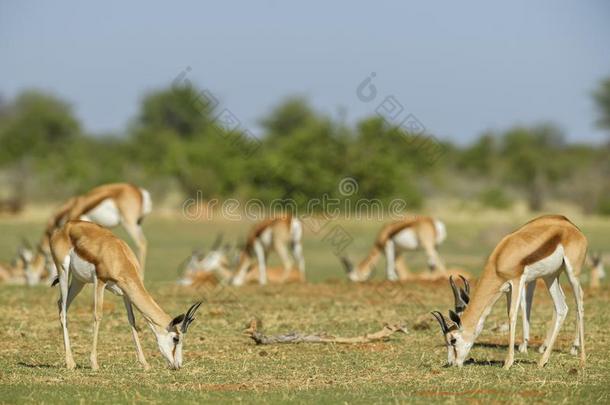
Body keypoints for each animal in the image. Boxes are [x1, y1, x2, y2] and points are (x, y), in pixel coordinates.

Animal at [20, 181, 153, 282]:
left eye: (27, 272)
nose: (30, 285)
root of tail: (139, 191)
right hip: (137, 223)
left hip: (129, 223)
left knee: (141, 243)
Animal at [50, 219, 201, 368]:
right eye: (176, 339)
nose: (178, 365)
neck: (119, 258)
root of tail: (64, 227)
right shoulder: (100, 281)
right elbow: (98, 315)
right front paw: (94, 363)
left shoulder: (125, 293)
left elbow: (132, 320)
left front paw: (144, 363)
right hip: (64, 271)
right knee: (63, 311)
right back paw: (70, 363)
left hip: (79, 281)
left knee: (60, 304)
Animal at [430, 215, 580, 370]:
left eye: (453, 340)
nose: (451, 363)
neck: (499, 259)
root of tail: (572, 227)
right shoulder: (508, 289)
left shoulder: (517, 281)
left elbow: (512, 315)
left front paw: (508, 363)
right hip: (550, 277)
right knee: (562, 307)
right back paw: (542, 360)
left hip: (572, 275)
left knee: (579, 302)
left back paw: (579, 355)